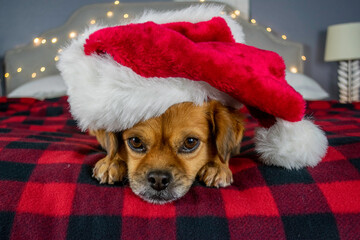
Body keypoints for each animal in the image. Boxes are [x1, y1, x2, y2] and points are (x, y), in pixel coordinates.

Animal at [90, 100, 245, 203]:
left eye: (190, 142)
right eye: (136, 141)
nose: (158, 179)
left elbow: (223, 151)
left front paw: (217, 166)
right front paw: (112, 161)